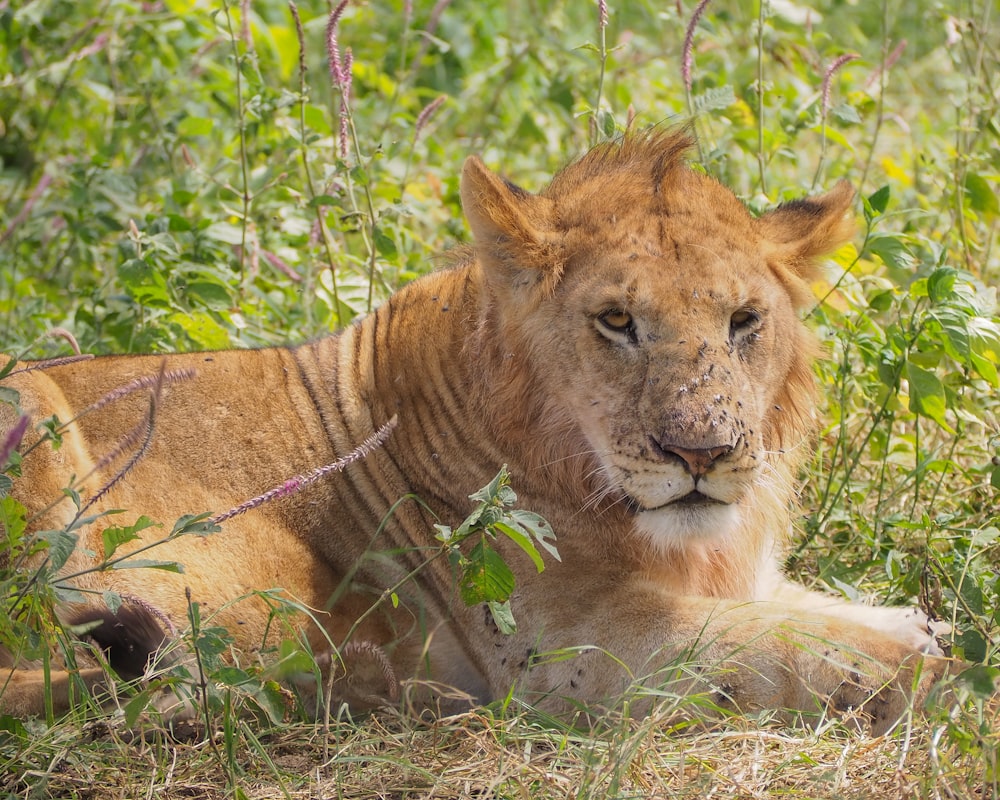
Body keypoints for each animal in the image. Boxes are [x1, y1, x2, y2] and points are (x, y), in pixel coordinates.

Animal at [0, 130, 952, 732]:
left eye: (744, 321)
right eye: (616, 322)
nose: (702, 454)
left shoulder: (732, 579)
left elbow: (828, 613)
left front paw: (925, 630)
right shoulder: (568, 650)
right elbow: (792, 645)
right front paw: (941, 675)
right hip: (33, 426)